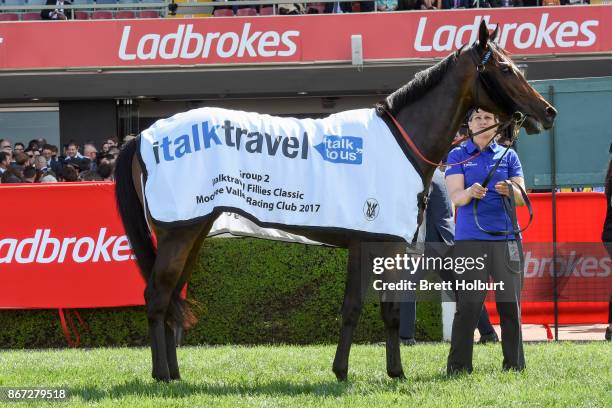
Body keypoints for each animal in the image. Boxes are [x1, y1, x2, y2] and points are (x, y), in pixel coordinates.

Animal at [116, 23, 560, 382]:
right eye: (505, 69)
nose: (548, 111)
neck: (402, 142)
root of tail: (142, 136)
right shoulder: (373, 243)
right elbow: (361, 308)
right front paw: (353, 372)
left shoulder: (380, 246)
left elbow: (381, 310)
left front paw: (387, 372)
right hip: (178, 233)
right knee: (157, 297)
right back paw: (161, 376)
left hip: (193, 230)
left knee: (172, 299)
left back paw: (175, 373)